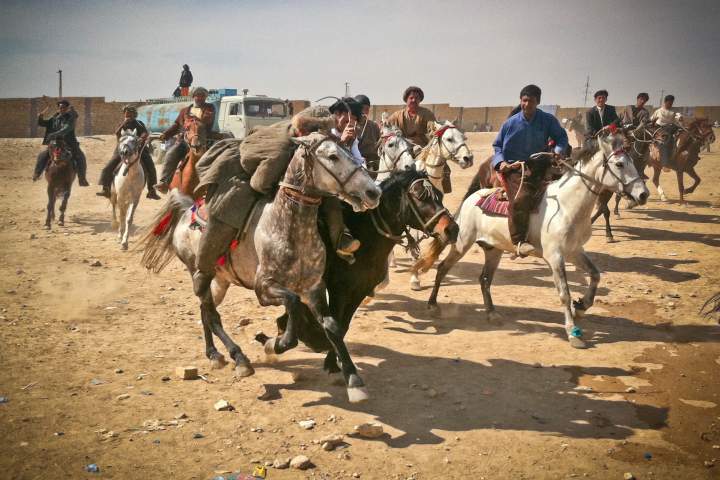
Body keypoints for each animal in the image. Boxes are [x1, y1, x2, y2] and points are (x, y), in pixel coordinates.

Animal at [260, 167, 462, 374]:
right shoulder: (338, 290)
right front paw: (327, 357)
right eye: (421, 196)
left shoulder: (359, 291)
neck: (366, 237)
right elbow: (336, 324)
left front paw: (329, 358)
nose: (452, 229)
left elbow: (343, 325)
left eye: (439, 195)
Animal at [424, 131, 648, 348]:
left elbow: (595, 275)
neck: (567, 206)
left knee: (484, 279)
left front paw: (581, 306)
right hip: (462, 244)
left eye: (631, 161)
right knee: (443, 268)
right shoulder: (555, 256)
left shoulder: (575, 251)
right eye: (619, 164)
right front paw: (573, 332)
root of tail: (473, 198)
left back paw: (492, 313)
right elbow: (564, 293)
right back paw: (433, 305)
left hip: (494, 250)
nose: (643, 194)